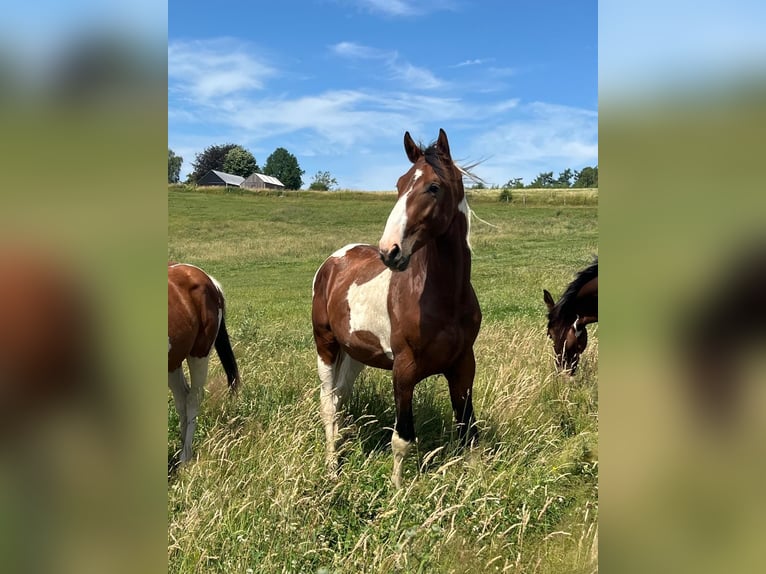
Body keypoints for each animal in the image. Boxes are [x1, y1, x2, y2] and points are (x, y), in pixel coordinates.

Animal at [311, 128, 482, 488]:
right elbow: (402, 438)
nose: (389, 251)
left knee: (341, 397)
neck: (444, 299)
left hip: (356, 354)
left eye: (433, 187)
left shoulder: (463, 366)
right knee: (328, 405)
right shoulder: (404, 371)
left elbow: (468, 431)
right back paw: (332, 467)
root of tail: (333, 261)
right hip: (326, 345)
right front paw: (398, 490)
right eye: (399, 184)